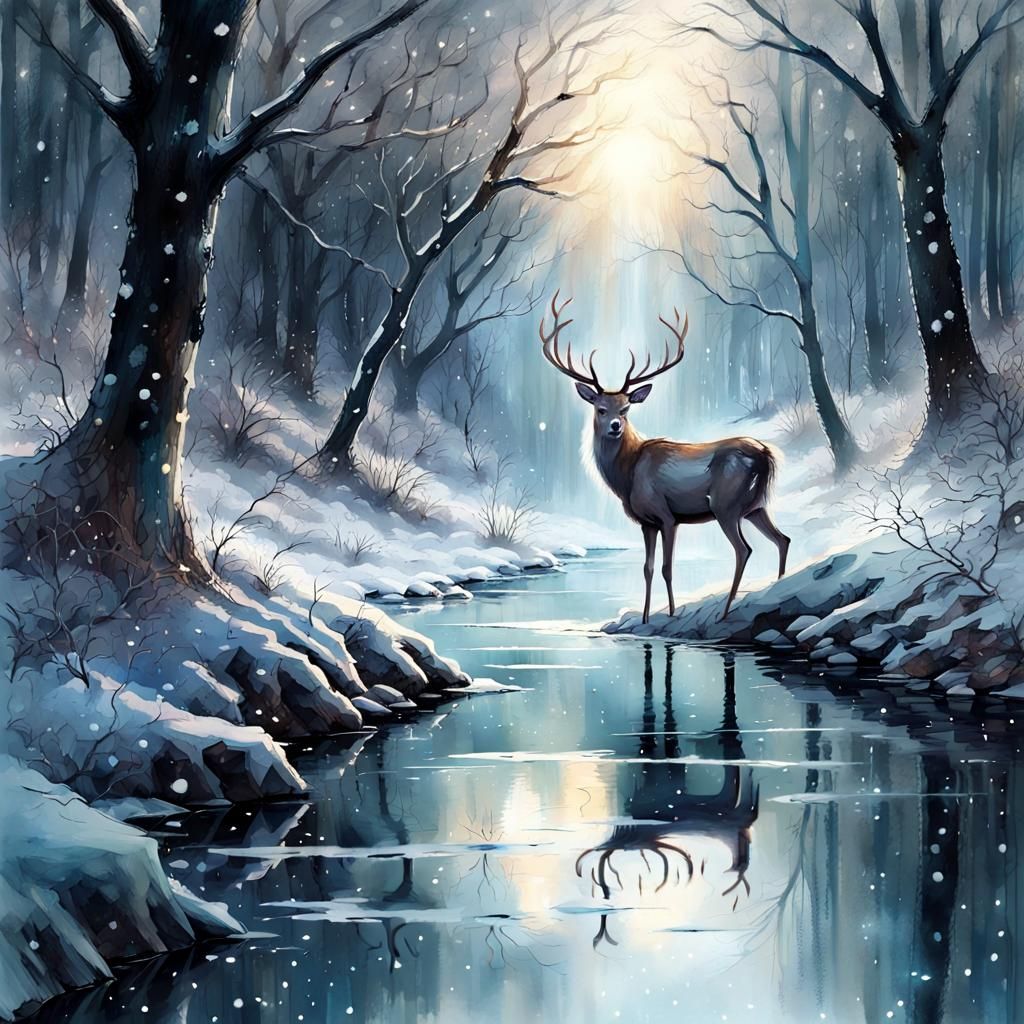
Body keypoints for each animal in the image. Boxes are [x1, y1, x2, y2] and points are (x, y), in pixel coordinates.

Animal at [539, 292, 790, 623]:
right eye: (601, 408)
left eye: (626, 408)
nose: (615, 426)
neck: (628, 475)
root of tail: (764, 454)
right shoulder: (646, 523)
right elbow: (646, 569)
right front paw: (646, 617)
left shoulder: (667, 516)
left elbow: (667, 568)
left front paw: (670, 614)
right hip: (756, 505)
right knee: (782, 539)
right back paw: (777, 586)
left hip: (726, 504)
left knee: (744, 550)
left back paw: (725, 612)